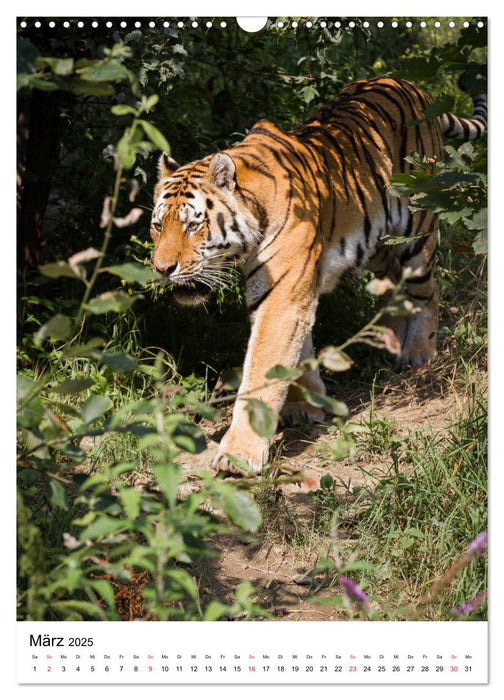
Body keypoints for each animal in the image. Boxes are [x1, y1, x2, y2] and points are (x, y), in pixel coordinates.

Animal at [151, 76, 488, 474]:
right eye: (158, 226)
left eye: (192, 225)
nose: (162, 269)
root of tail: (407, 82)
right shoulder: (284, 292)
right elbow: (298, 352)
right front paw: (306, 405)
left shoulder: (282, 297)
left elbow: (263, 368)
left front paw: (239, 454)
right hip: (377, 246)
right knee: (394, 285)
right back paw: (386, 340)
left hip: (418, 229)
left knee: (426, 289)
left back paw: (418, 351)